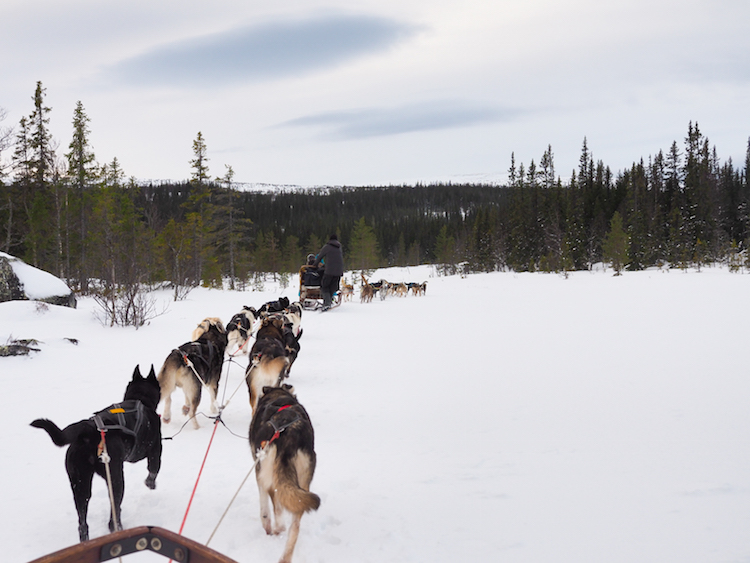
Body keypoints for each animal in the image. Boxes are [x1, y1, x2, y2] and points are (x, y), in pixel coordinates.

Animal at [32, 366, 163, 540]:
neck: (140, 398)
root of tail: (88, 430)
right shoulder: (154, 449)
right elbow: (153, 469)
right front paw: (150, 484)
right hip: (115, 478)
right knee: (115, 510)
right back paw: (118, 529)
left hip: (79, 482)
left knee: (82, 522)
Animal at [250, 386, 320, 563]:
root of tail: (289, 435)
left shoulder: (260, 472)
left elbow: (266, 506)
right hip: (302, 484)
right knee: (295, 525)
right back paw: (285, 557)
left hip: (267, 472)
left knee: (276, 508)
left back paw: (274, 529)